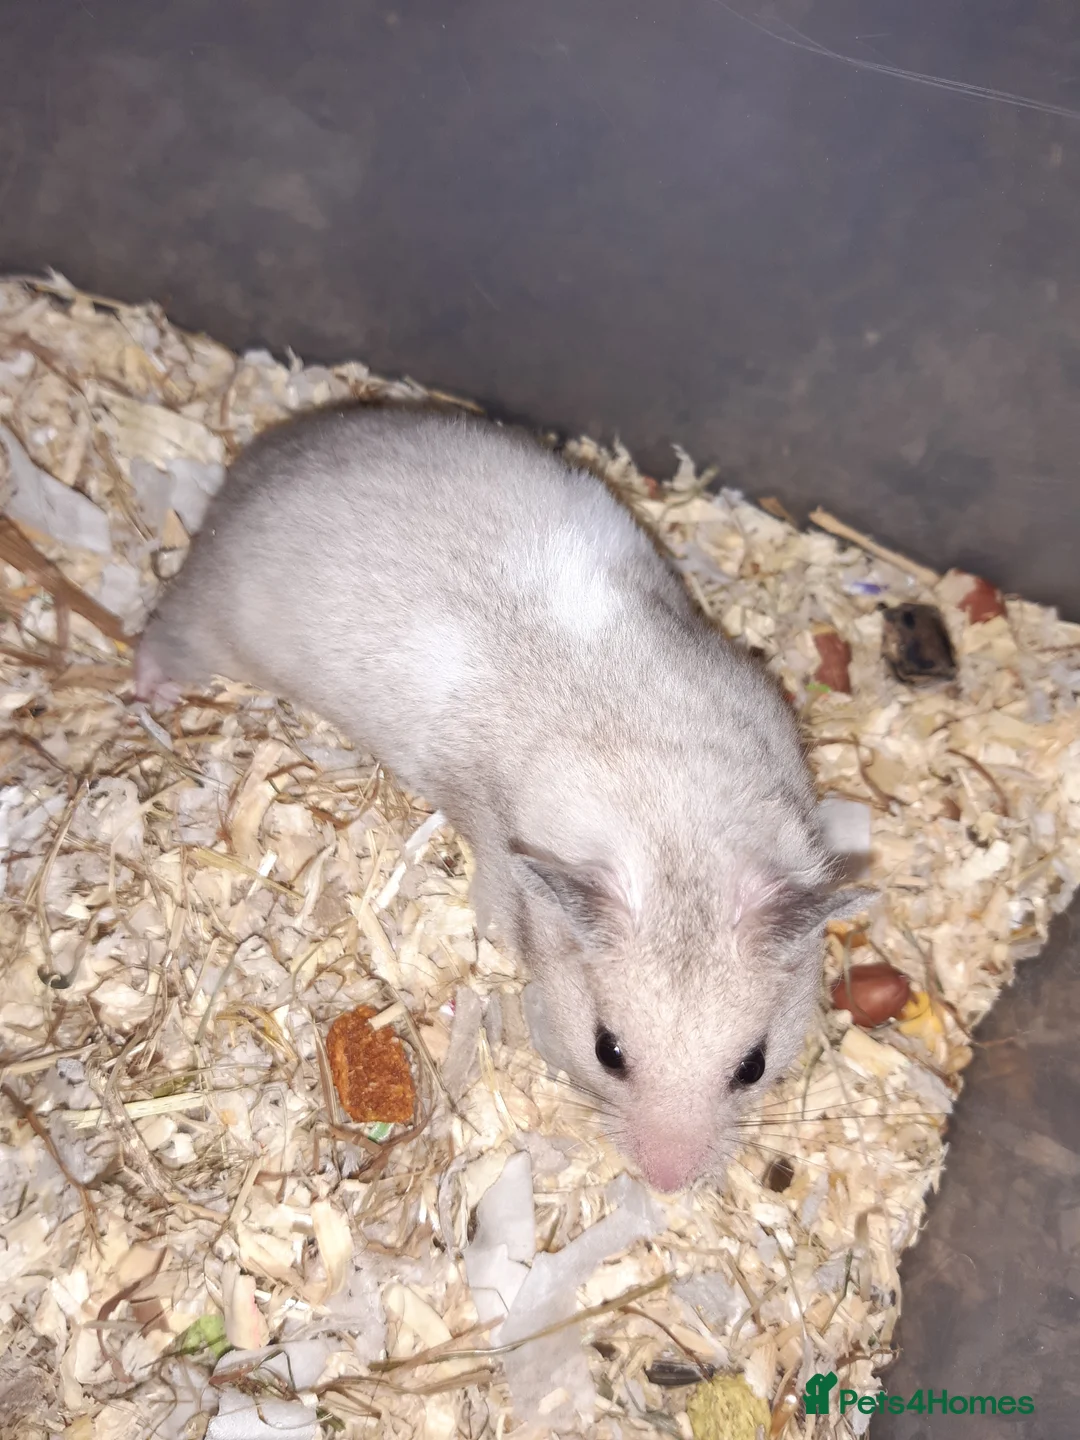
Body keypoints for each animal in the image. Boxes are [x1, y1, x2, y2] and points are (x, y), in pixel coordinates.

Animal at [137, 404, 869, 1191]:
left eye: (752, 1066)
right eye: (608, 1051)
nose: (666, 1184)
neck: (676, 825)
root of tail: (257, 460)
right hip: (214, 618)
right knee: (165, 633)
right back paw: (150, 690)